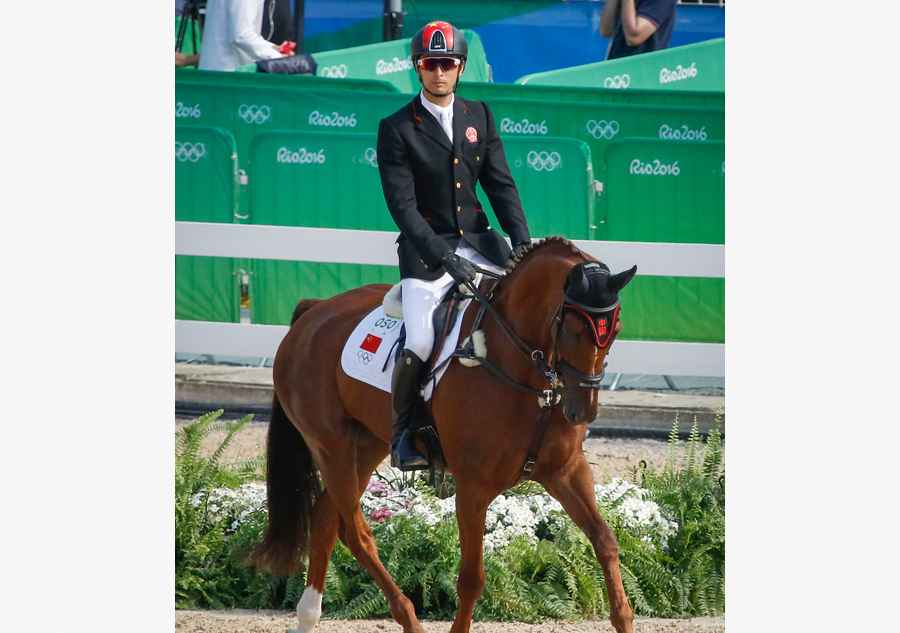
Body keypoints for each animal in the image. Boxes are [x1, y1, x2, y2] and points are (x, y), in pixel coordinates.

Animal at [250, 238, 636, 632]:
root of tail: (315, 311)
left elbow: (606, 541)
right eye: (572, 331)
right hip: (331, 447)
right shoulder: (473, 487)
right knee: (356, 534)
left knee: (327, 519)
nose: (582, 411)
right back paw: (407, 618)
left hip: (367, 445)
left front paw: (624, 616)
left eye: (616, 330)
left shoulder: (566, 472)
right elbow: (471, 578)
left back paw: (307, 616)